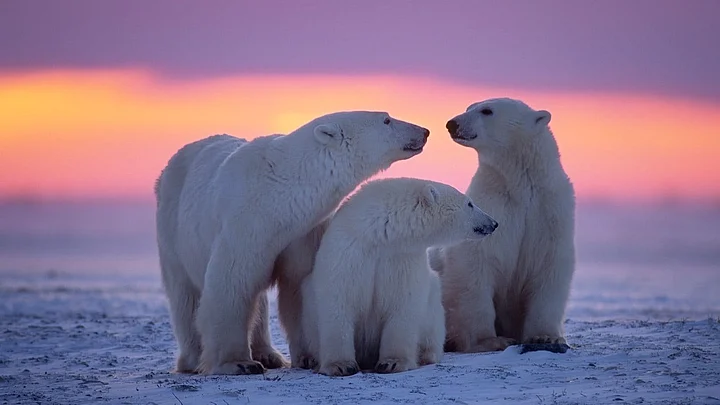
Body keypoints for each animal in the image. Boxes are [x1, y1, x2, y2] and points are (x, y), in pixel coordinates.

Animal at [154, 111, 430, 375]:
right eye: (386, 119)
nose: (424, 131)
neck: (279, 195)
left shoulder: (302, 232)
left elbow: (298, 285)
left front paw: (309, 357)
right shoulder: (245, 224)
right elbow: (231, 284)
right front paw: (238, 363)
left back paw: (269, 354)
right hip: (173, 229)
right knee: (185, 295)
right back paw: (193, 359)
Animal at [298, 177, 499, 376]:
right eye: (470, 203)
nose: (494, 223)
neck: (380, 235)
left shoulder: (402, 258)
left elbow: (402, 304)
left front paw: (392, 363)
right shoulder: (349, 251)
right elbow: (339, 301)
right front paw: (340, 365)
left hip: (433, 304)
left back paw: (426, 355)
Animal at [431, 97, 575, 354]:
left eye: (487, 110)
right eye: (468, 107)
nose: (452, 123)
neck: (520, 186)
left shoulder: (549, 213)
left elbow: (549, 267)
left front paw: (546, 337)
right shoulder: (494, 207)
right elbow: (475, 266)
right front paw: (491, 340)